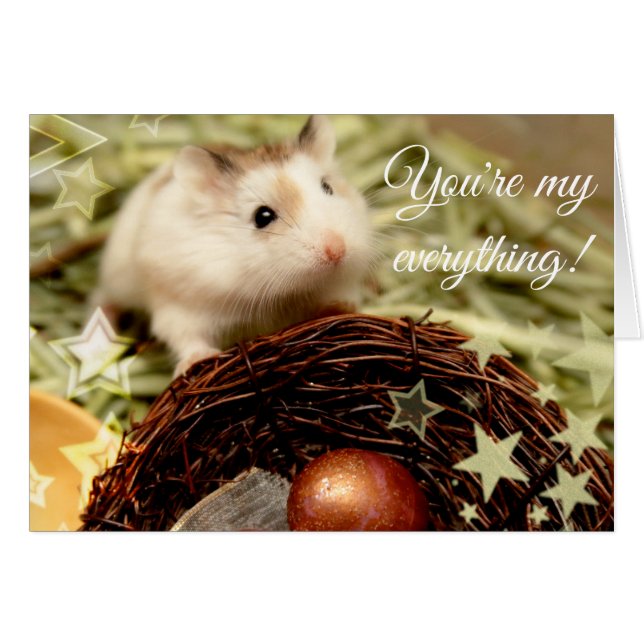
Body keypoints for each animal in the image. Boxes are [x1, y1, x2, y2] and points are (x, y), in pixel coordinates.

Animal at [95, 115, 374, 376]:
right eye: (262, 216)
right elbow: (187, 339)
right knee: (105, 301)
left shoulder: (339, 285)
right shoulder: (180, 306)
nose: (336, 251)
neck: (283, 291)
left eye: (328, 187)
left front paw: (339, 309)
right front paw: (197, 361)